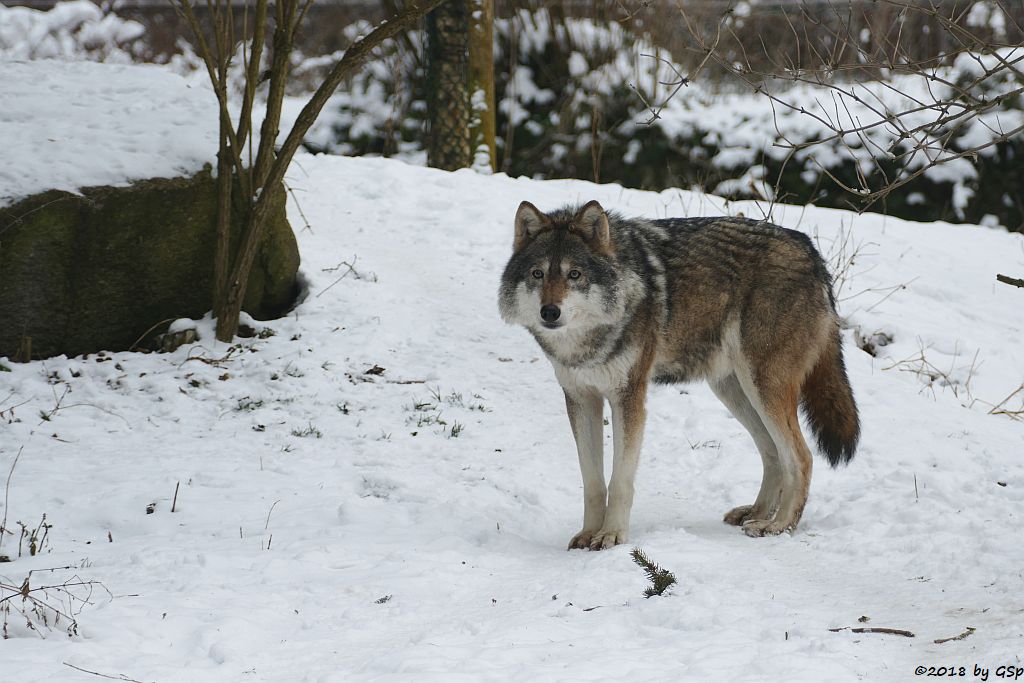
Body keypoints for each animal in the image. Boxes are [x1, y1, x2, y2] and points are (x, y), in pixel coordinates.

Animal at [499, 201, 860, 548]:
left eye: (574, 274)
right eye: (537, 273)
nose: (550, 312)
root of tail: (810, 250)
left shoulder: (629, 397)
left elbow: (619, 480)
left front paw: (612, 535)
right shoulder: (580, 399)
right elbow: (592, 482)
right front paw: (589, 534)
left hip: (763, 388)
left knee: (801, 457)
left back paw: (779, 525)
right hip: (735, 391)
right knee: (772, 454)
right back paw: (756, 512)